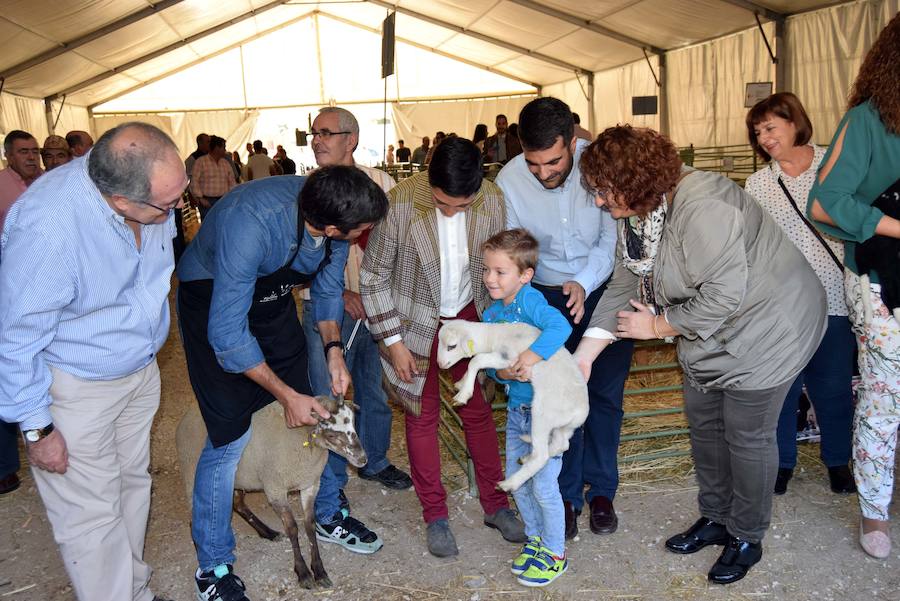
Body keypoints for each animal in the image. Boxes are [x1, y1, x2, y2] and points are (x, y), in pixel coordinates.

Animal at [438, 322, 592, 490]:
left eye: (452, 346)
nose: (440, 364)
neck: (494, 335)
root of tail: (580, 413)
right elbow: (477, 365)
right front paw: (460, 384)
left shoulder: (507, 359)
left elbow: (476, 361)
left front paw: (463, 395)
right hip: (563, 426)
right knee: (562, 445)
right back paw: (525, 458)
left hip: (543, 414)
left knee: (541, 456)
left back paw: (508, 484)